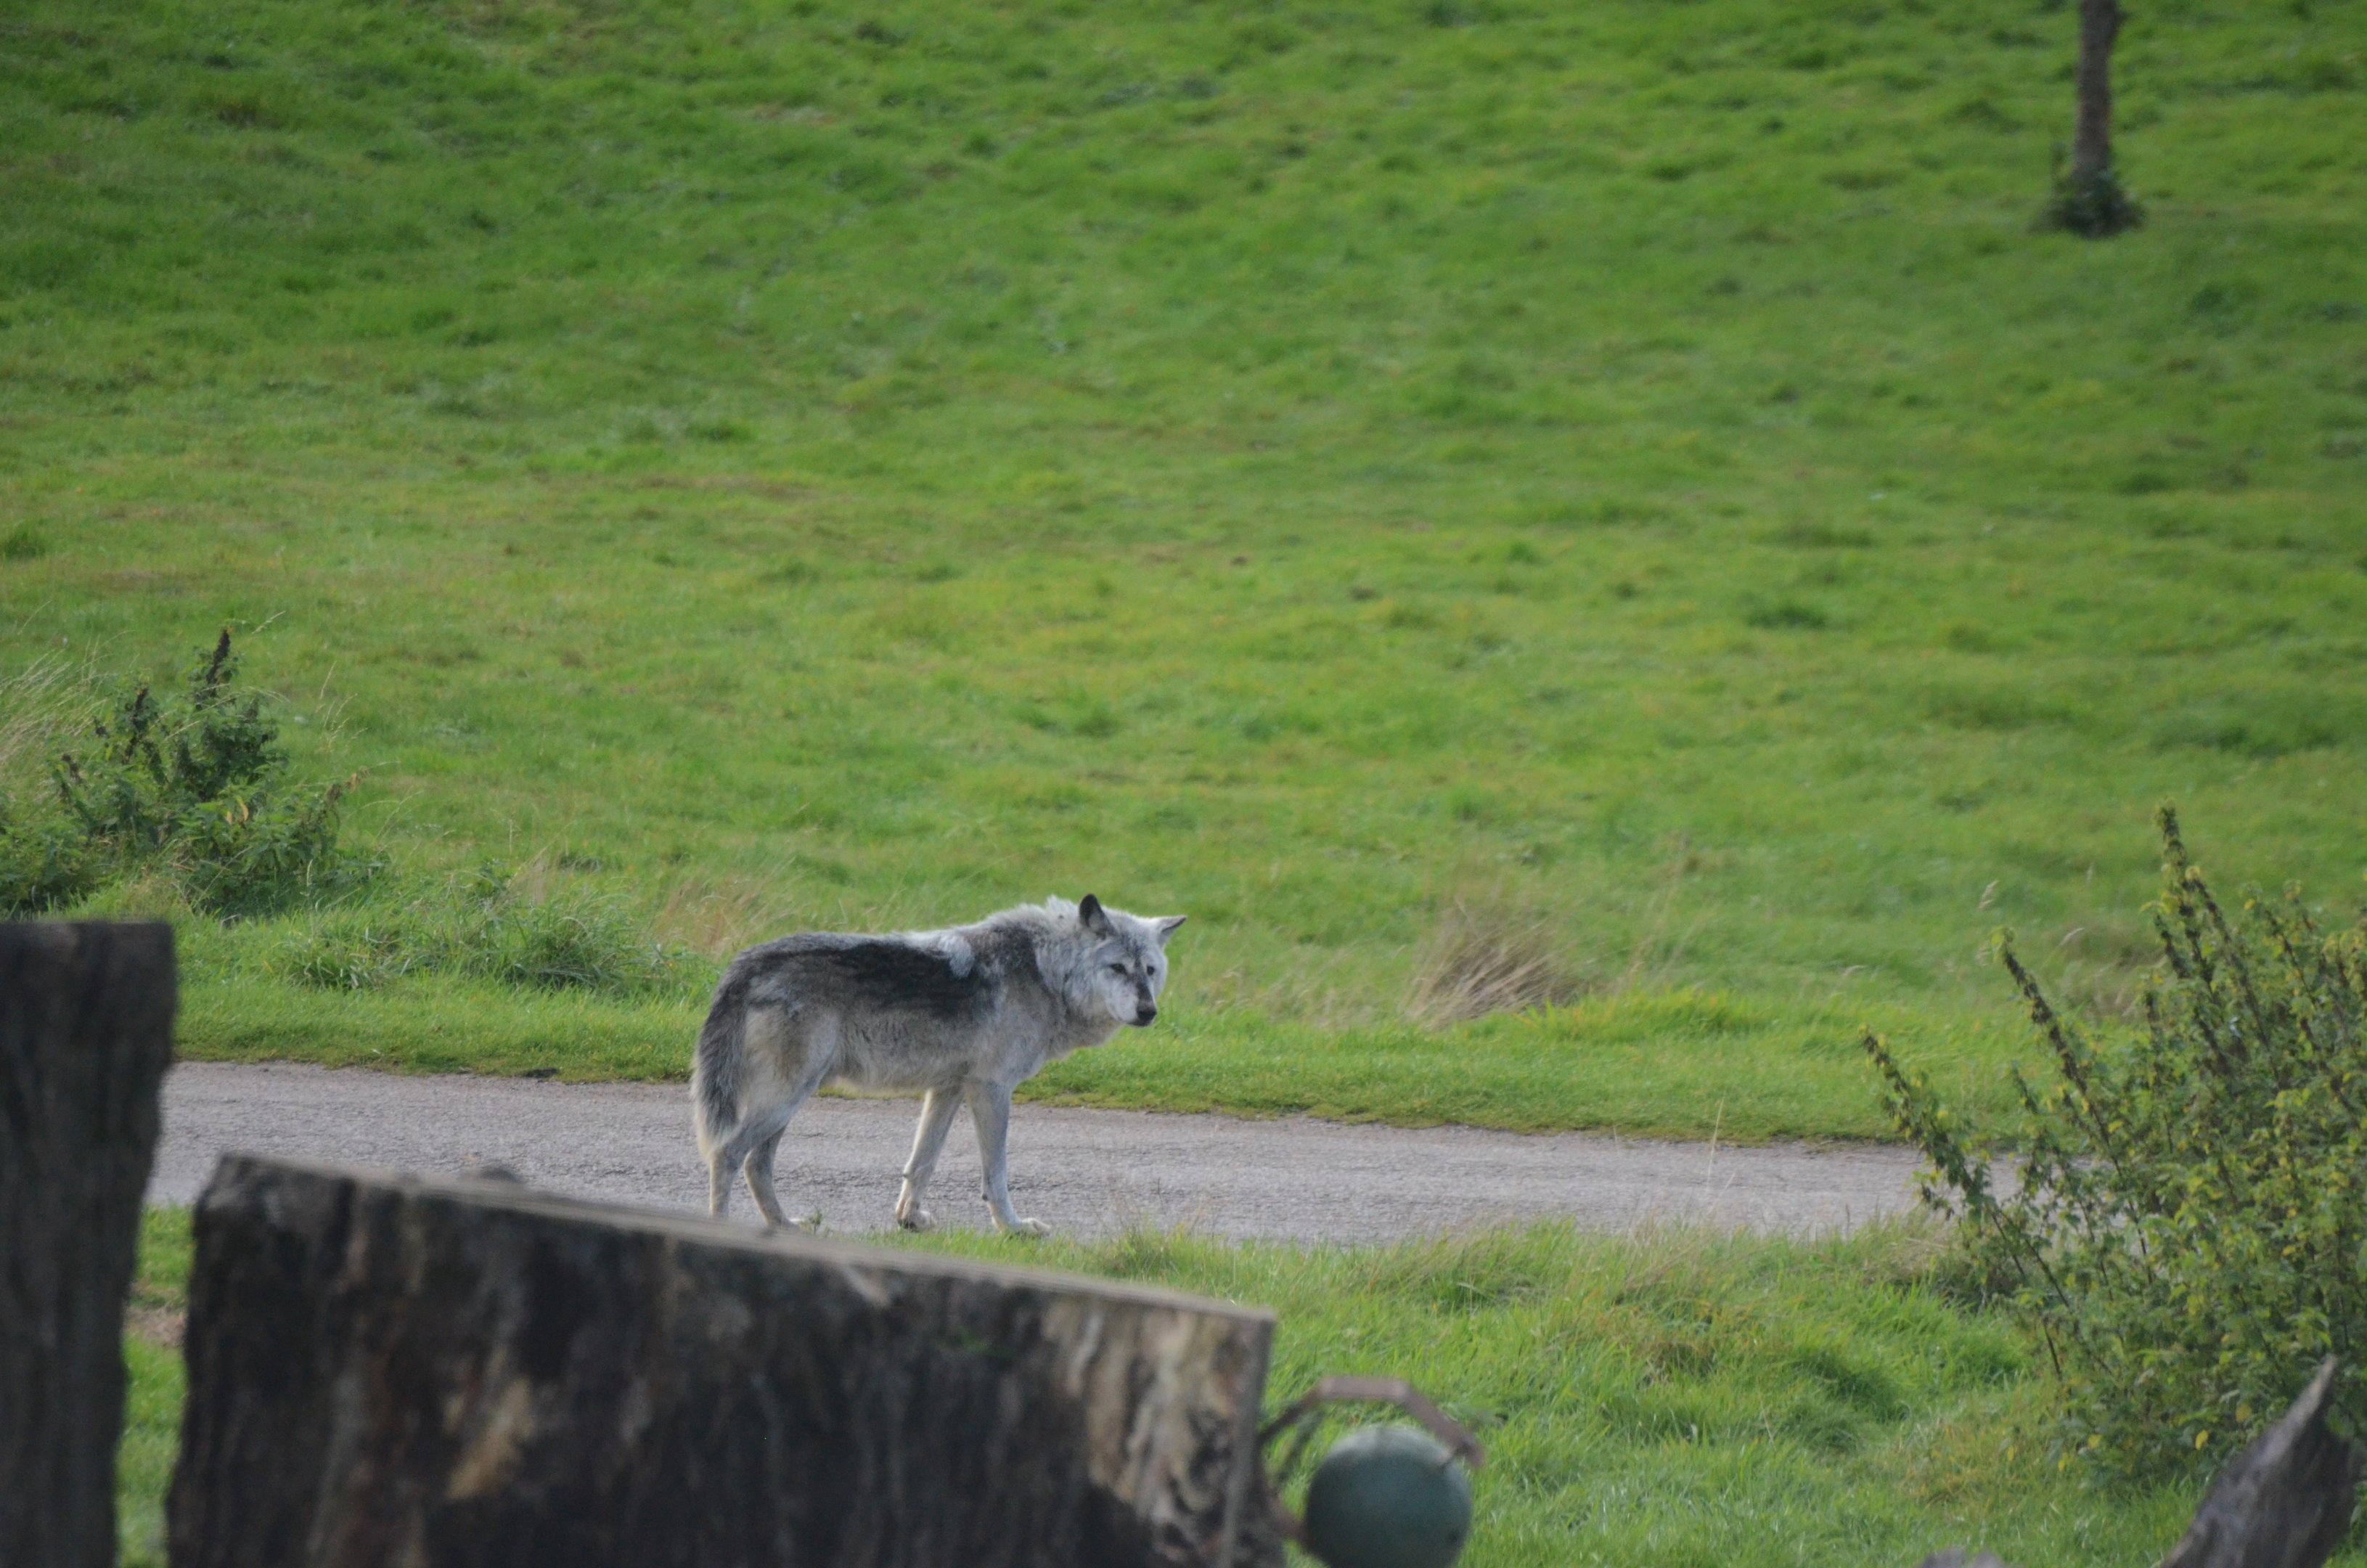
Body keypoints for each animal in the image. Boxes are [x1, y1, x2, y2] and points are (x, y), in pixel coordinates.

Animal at [693, 894, 1185, 1237]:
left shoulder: (948, 1088)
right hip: (785, 1099)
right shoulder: (991, 1088)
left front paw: (909, 1221)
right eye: (1117, 968)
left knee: (757, 1165)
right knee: (727, 1153)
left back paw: (783, 1227)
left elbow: (922, 1164)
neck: (1045, 972)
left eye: (1149, 970)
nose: (1148, 1012)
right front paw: (1014, 1229)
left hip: (789, 1102)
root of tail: (748, 961)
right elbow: (996, 1174)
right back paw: (721, 1229)